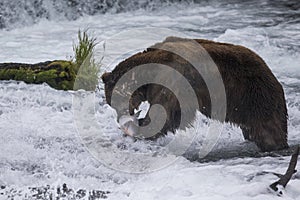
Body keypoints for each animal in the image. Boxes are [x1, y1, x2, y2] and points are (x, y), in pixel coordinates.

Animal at [102, 36, 290, 152]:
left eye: (113, 102)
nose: (121, 116)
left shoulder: (172, 78)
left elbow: (164, 113)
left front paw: (138, 128)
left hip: (257, 98)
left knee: (268, 132)